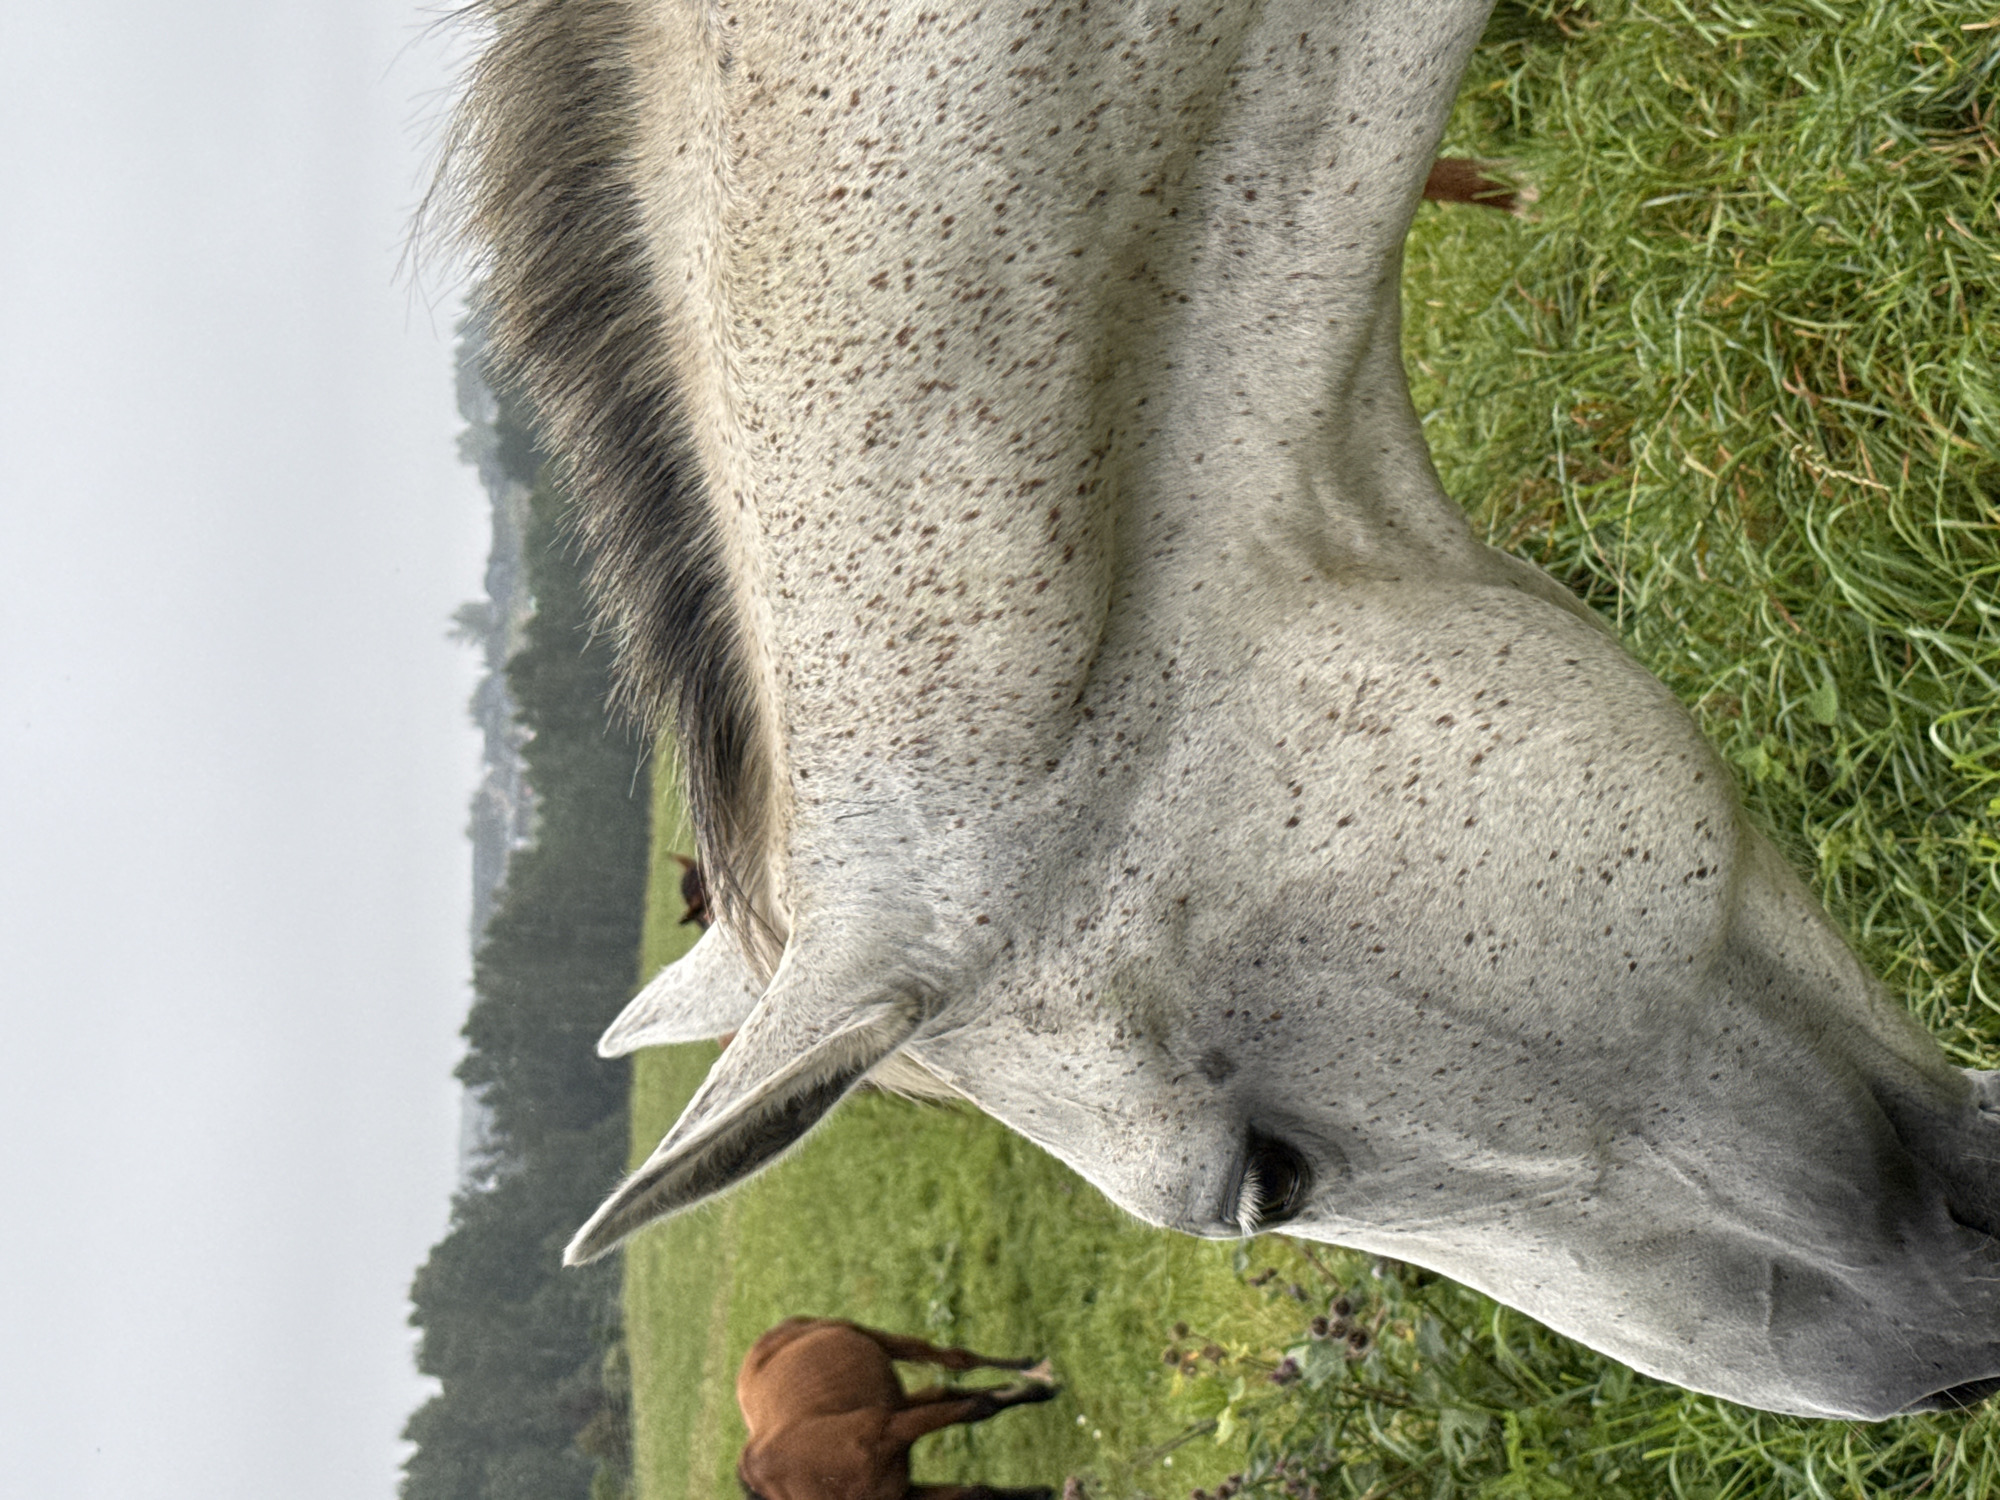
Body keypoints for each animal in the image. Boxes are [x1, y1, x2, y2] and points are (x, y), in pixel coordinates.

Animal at [736, 1318, 1057, 1500]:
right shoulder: (905, 1490)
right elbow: (979, 1492)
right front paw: (1042, 1492)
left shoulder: (889, 1429)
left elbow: (979, 1408)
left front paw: (1039, 1390)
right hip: (895, 1401)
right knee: (948, 1391)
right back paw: (1030, 1382)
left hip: (876, 1341)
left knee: (955, 1360)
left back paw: (1030, 1368)